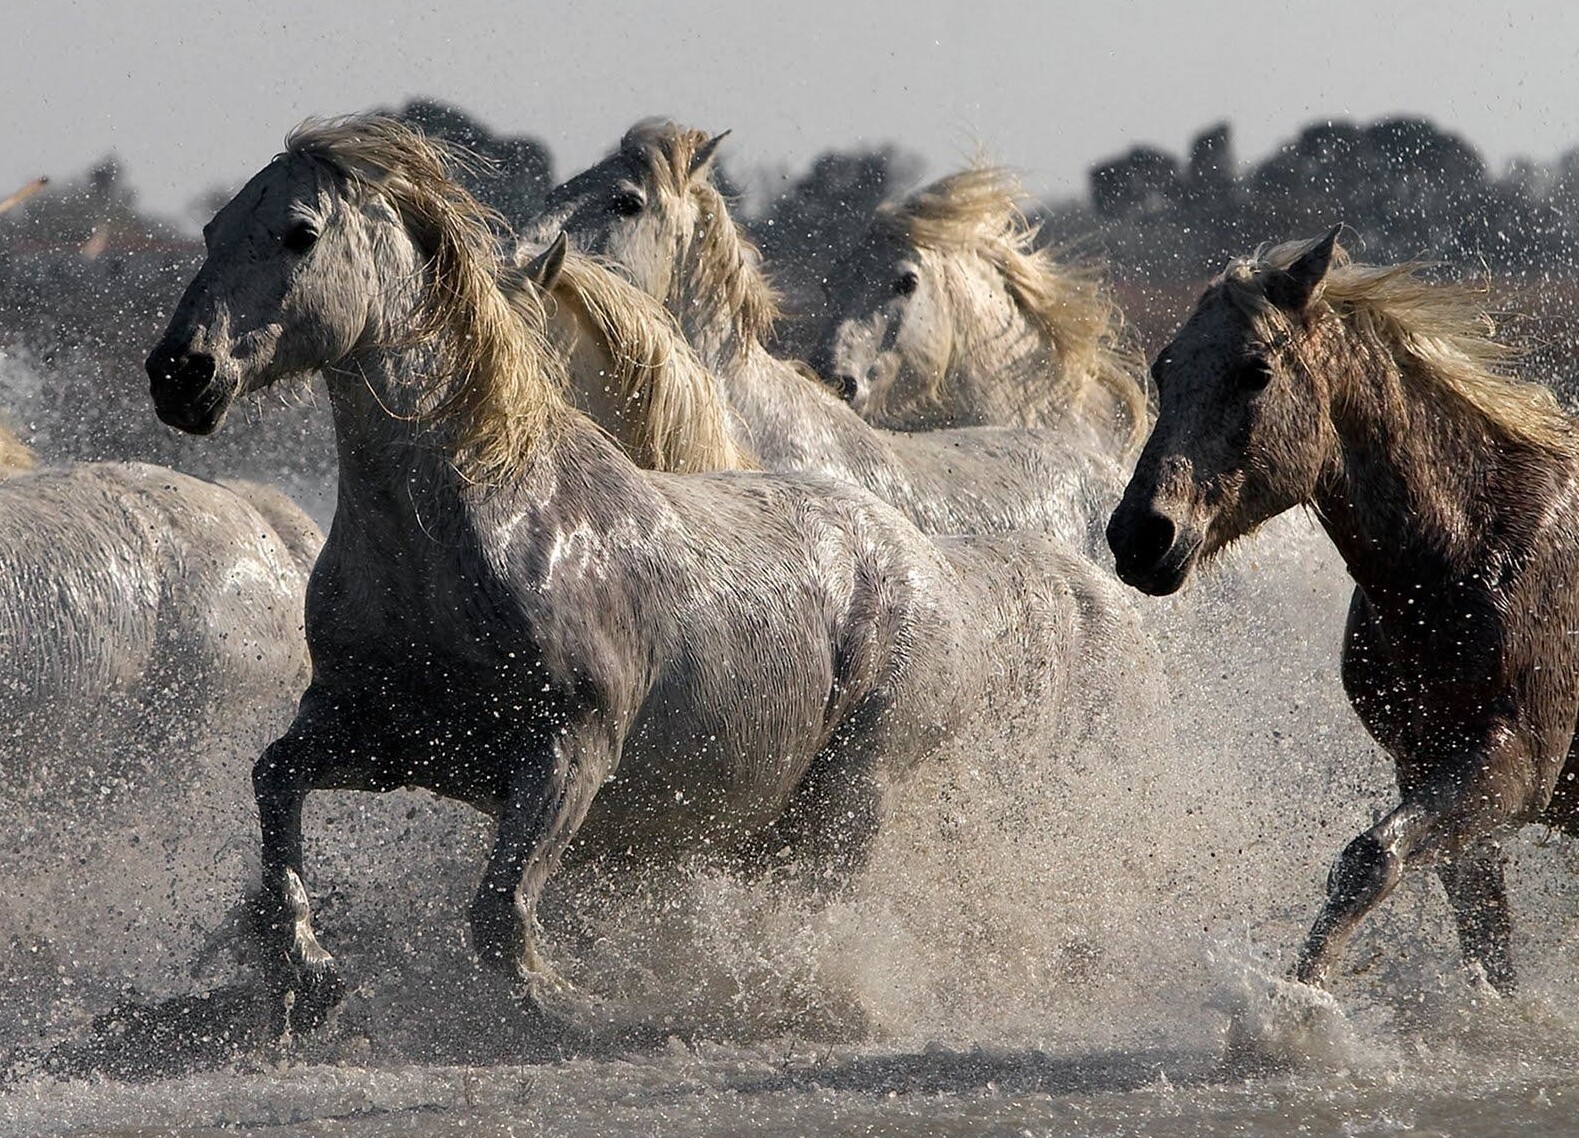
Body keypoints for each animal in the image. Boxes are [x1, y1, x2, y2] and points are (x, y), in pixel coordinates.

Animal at [1105, 225, 1579, 991]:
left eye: (1256, 372)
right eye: (1164, 369)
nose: (1141, 534)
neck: (1472, 548)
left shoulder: (1518, 760)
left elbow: (1370, 858)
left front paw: (1298, 998)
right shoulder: (1425, 764)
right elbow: (1482, 931)